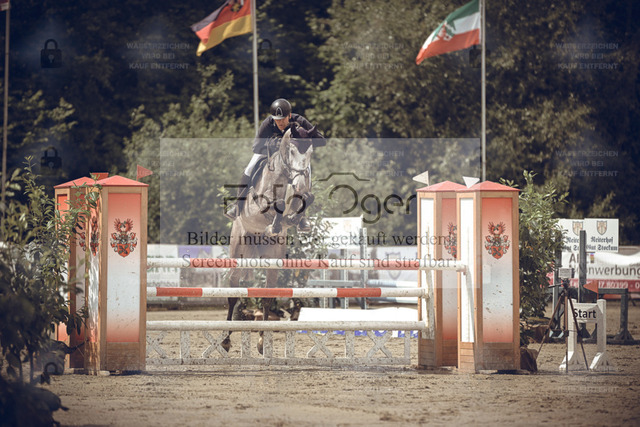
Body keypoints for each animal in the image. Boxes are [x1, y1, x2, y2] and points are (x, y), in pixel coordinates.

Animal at [223, 125, 320, 353]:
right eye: (290, 151)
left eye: (310, 152)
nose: (299, 184)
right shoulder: (260, 203)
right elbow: (277, 204)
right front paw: (277, 221)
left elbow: (305, 200)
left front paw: (295, 220)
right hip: (238, 251)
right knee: (233, 292)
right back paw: (226, 340)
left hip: (272, 260)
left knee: (266, 297)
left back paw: (261, 342)